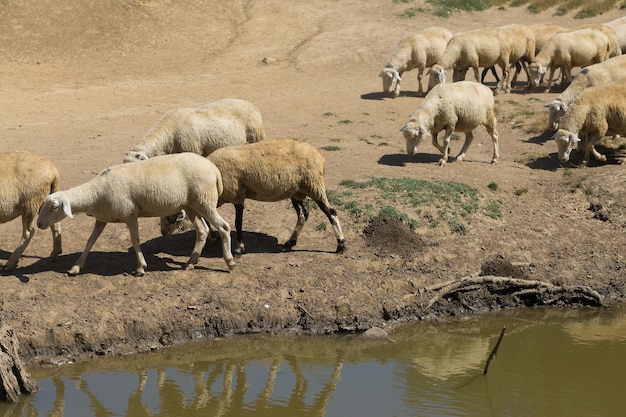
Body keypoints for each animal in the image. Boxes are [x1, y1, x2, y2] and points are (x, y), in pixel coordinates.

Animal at [37, 151, 236, 274]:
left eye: (54, 207)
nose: (39, 224)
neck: (97, 192)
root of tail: (214, 170)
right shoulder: (102, 218)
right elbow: (90, 242)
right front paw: (76, 267)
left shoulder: (129, 215)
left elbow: (135, 241)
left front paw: (141, 267)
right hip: (190, 205)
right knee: (202, 230)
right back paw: (190, 263)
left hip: (205, 201)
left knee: (224, 227)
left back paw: (230, 262)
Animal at [161, 139, 346, 254]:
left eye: (171, 217)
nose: (163, 233)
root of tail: (320, 158)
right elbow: (208, 218)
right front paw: (214, 236)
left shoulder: (237, 195)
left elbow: (238, 222)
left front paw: (238, 247)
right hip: (296, 191)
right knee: (303, 215)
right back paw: (289, 243)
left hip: (314, 186)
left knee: (331, 212)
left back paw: (341, 244)